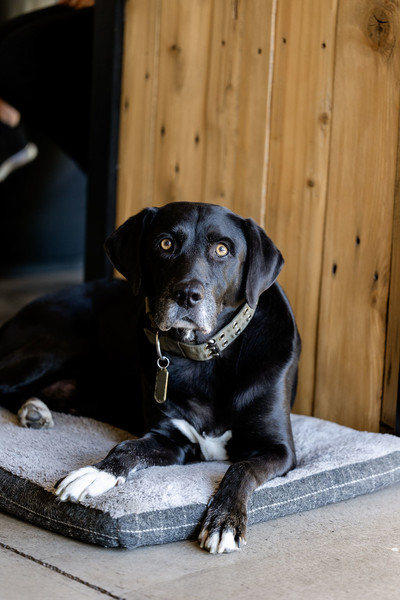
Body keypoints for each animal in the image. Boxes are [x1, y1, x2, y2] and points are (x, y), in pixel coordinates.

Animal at [0, 202, 300, 552]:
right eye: (165, 244)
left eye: (222, 249)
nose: (187, 295)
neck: (202, 358)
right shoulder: (168, 437)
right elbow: (126, 448)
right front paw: (94, 473)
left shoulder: (279, 449)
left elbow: (241, 468)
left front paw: (225, 521)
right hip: (57, 345)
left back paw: (35, 410)